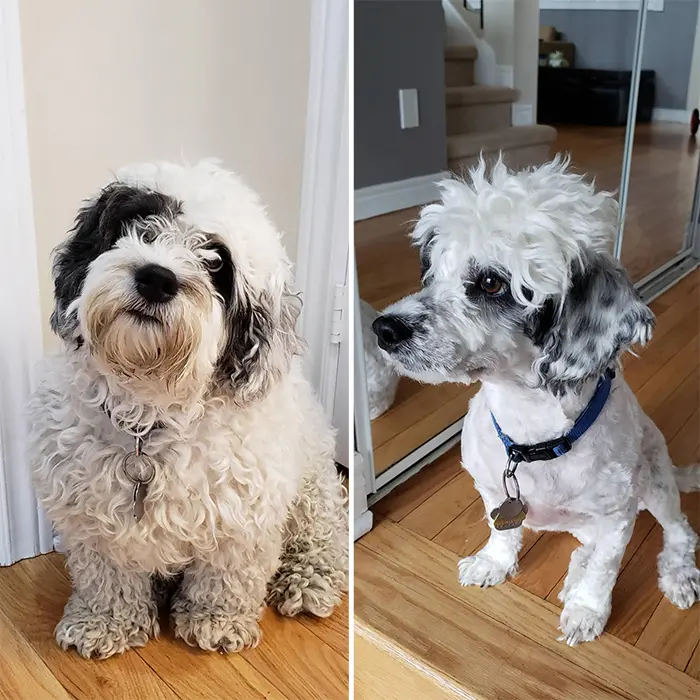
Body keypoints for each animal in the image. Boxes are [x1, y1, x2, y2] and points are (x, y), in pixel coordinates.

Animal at [29, 159, 348, 656]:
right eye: (139, 222)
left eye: (216, 261)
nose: (157, 278)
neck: (149, 420)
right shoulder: (94, 521)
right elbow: (107, 578)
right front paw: (104, 622)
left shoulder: (243, 519)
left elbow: (225, 578)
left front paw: (216, 620)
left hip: (312, 491)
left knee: (325, 536)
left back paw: (308, 578)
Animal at [372, 156, 700, 644]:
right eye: (431, 272)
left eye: (491, 282)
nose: (383, 328)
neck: (532, 439)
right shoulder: (492, 489)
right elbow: (503, 532)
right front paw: (493, 564)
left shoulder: (617, 515)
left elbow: (606, 569)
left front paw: (588, 610)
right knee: (587, 548)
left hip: (656, 481)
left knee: (678, 531)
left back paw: (676, 574)